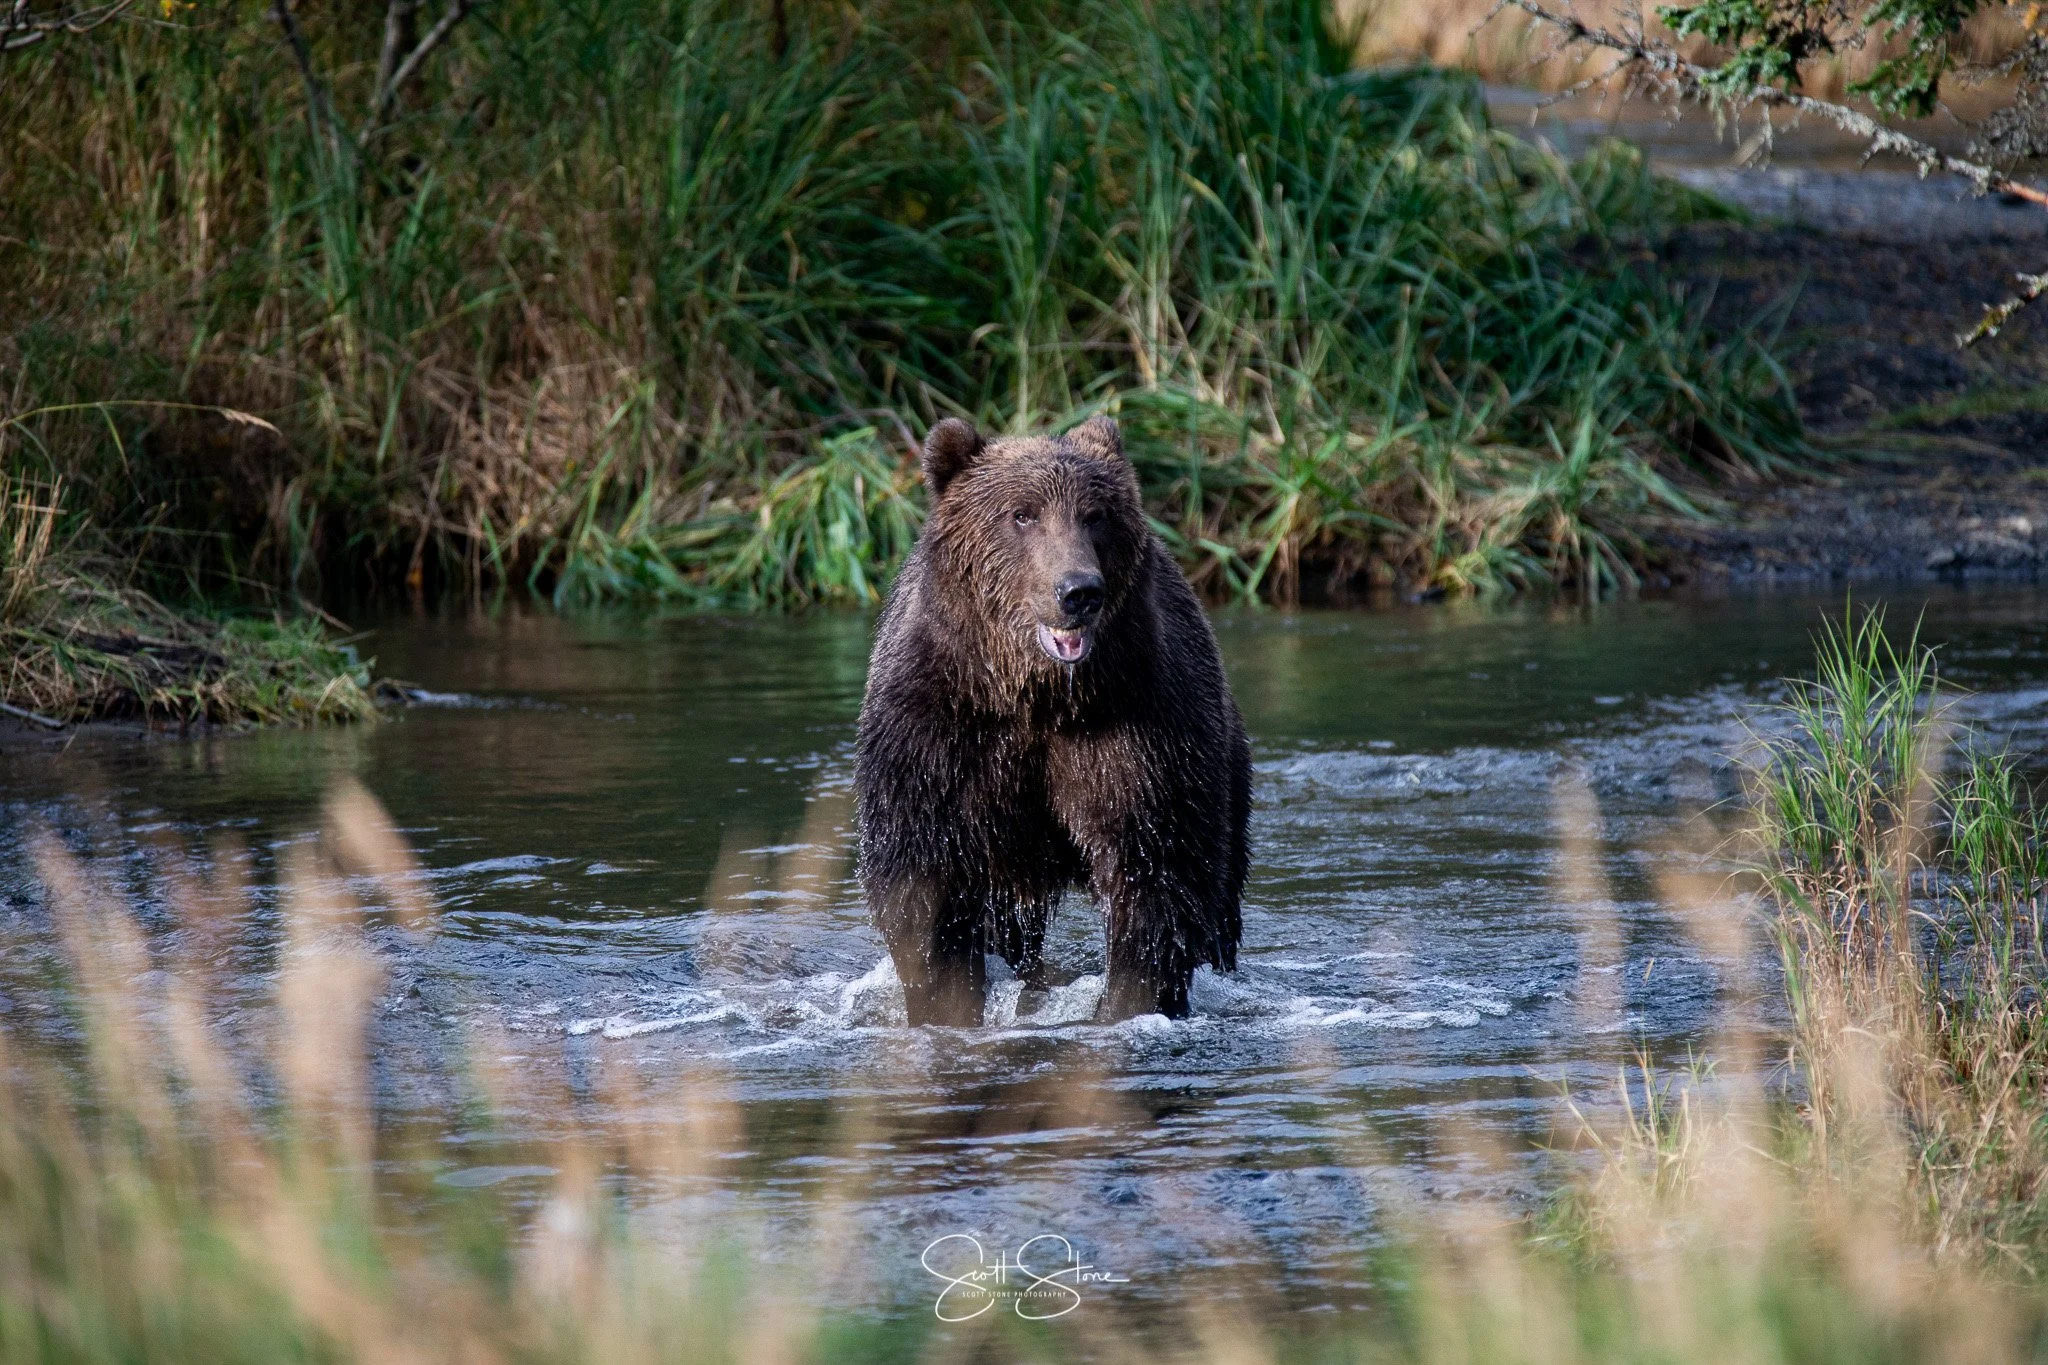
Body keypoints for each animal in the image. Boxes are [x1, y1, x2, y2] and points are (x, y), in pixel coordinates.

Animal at [854, 415, 1251, 1027]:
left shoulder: (1142, 727)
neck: (1036, 698)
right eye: (1022, 514)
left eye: (1096, 515)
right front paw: (949, 1003)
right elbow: (923, 883)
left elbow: (1153, 870)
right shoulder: (939, 731)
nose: (1078, 590)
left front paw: (1128, 1003)